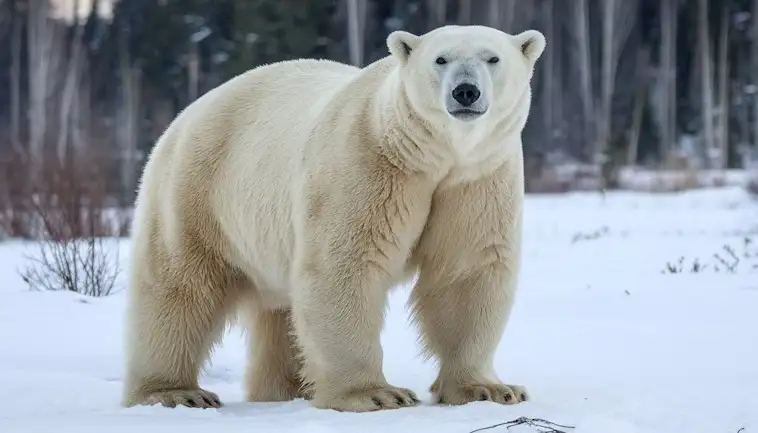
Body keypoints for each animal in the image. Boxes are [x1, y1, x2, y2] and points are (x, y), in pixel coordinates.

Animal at [121, 24, 545, 413]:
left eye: (492, 58)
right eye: (440, 59)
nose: (465, 92)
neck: (432, 155)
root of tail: (189, 112)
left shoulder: (477, 179)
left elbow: (467, 272)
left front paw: (489, 389)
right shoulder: (369, 163)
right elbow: (344, 266)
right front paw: (375, 394)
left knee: (280, 312)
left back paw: (287, 387)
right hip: (197, 191)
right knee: (180, 286)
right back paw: (175, 392)